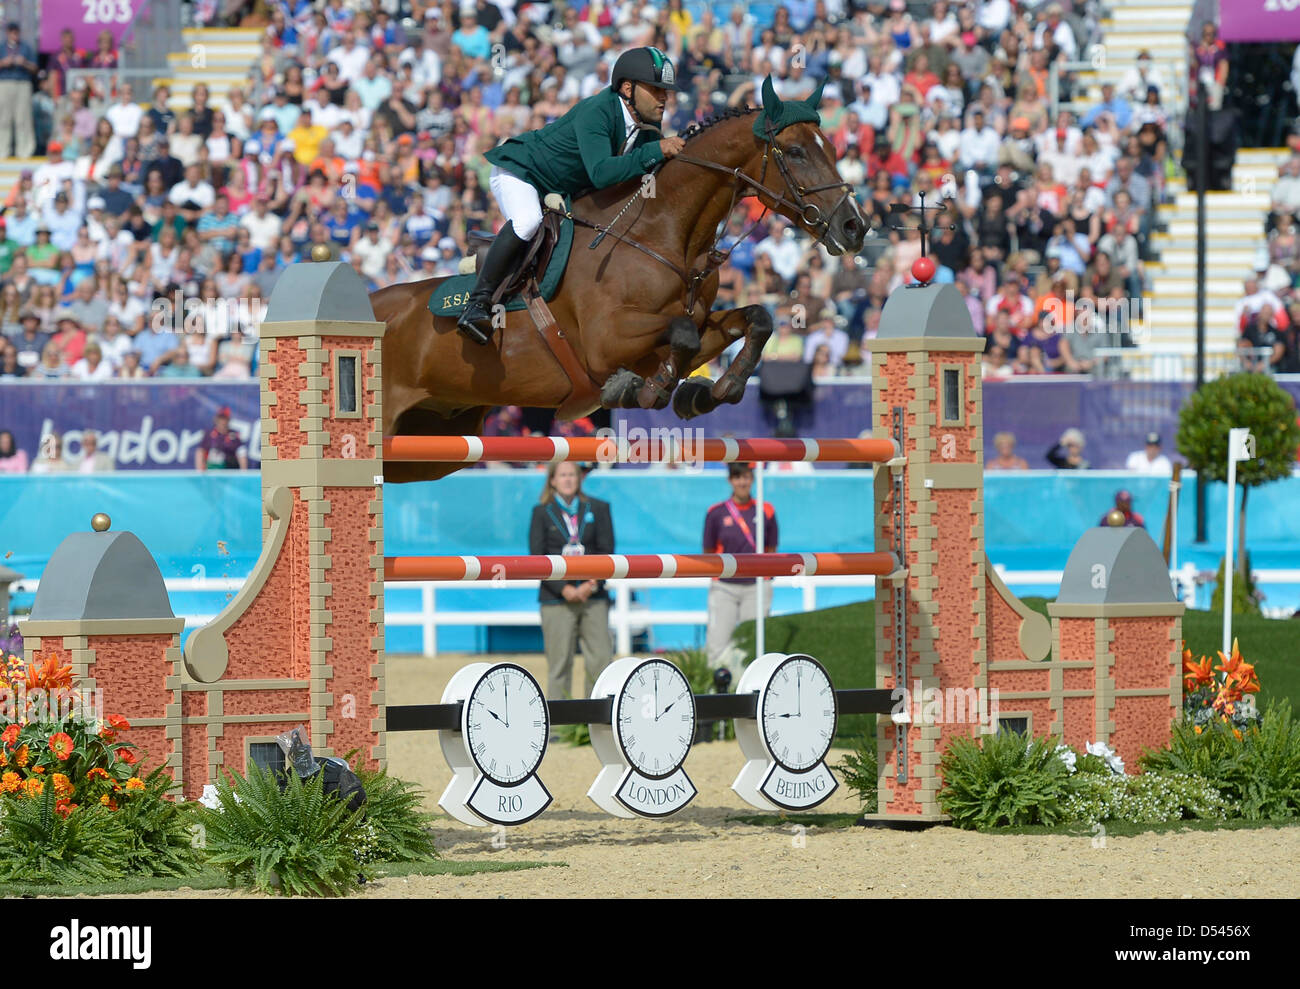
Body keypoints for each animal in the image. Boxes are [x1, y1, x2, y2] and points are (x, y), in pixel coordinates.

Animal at [374, 78, 863, 480]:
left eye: (833, 148)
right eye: (796, 152)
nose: (856, 228)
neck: (662, 233)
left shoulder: (680, 332)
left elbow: (754, 320)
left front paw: (706, 392)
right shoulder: (605, 341)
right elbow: (681, 335)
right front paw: (642, 392)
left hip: (430, 445)